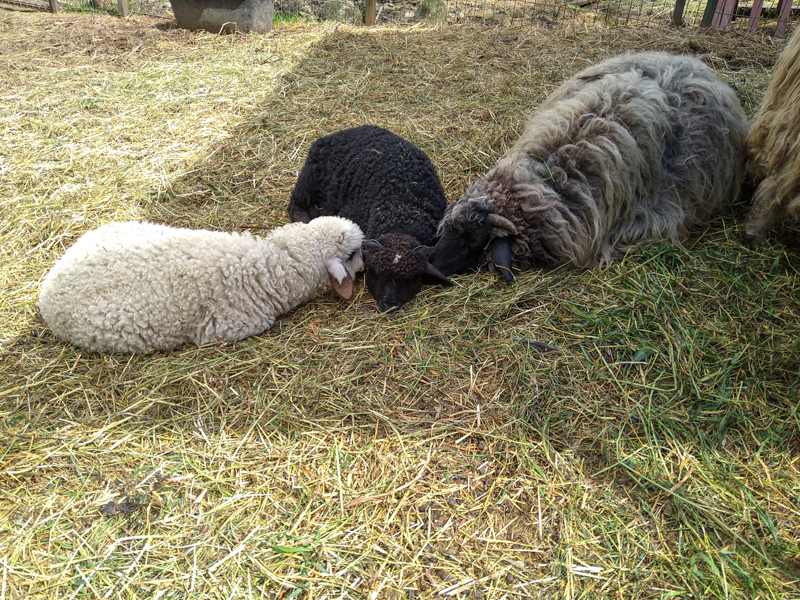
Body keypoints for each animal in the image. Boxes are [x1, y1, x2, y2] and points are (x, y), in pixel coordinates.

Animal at [288, 125, 452, 313]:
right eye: (376, 274)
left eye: (410, 280)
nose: (388, 305)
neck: (401, 210)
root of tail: (346, 131)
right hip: (308, 180)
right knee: (295, 205)